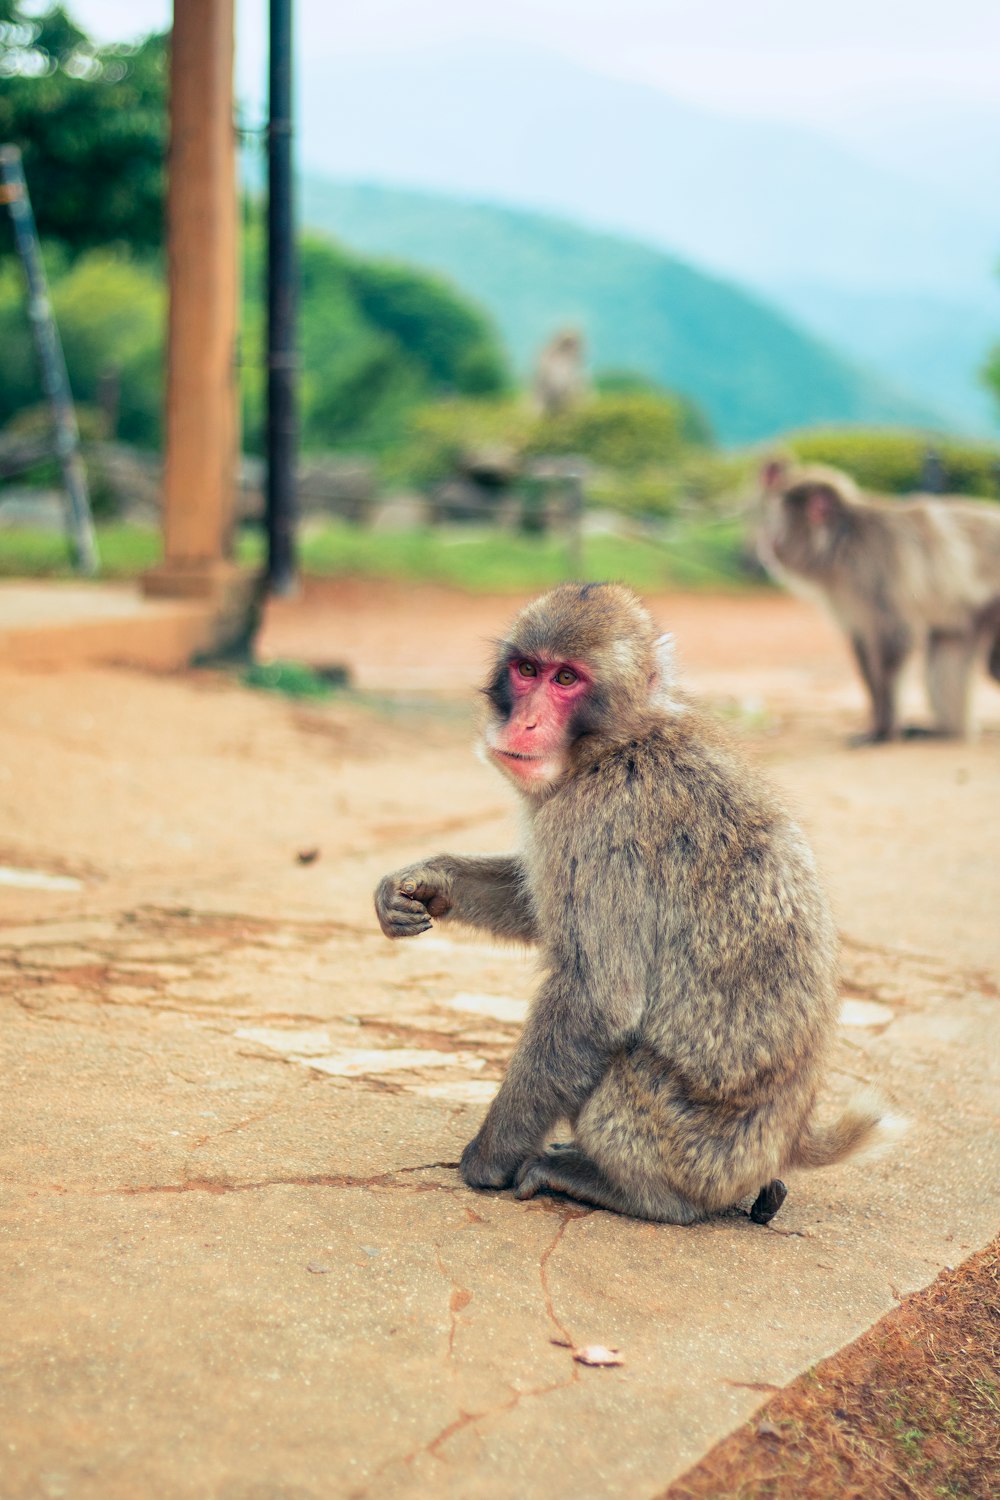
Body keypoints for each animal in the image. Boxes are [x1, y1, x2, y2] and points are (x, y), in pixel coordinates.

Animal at [373, 579, 893, 1224]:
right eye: (527, 670)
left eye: (566, 680)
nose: (524, 723)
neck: (615, 745)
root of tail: (786, 1142)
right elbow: (537, 905)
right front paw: (424, 883)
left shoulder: (601, 823)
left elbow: (597, 999)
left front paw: (488, 1158)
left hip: (693, 1147)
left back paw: (631, 1192)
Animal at [758, 456, 1000, 738]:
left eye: (782, 513)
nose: (768, 539)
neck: (841, 540)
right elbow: (863, 640)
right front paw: (878, 722)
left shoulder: (871, 568)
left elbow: (896, 637)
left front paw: (884, 730)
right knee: (949, 645)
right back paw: (949, 732)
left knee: (992, 667)